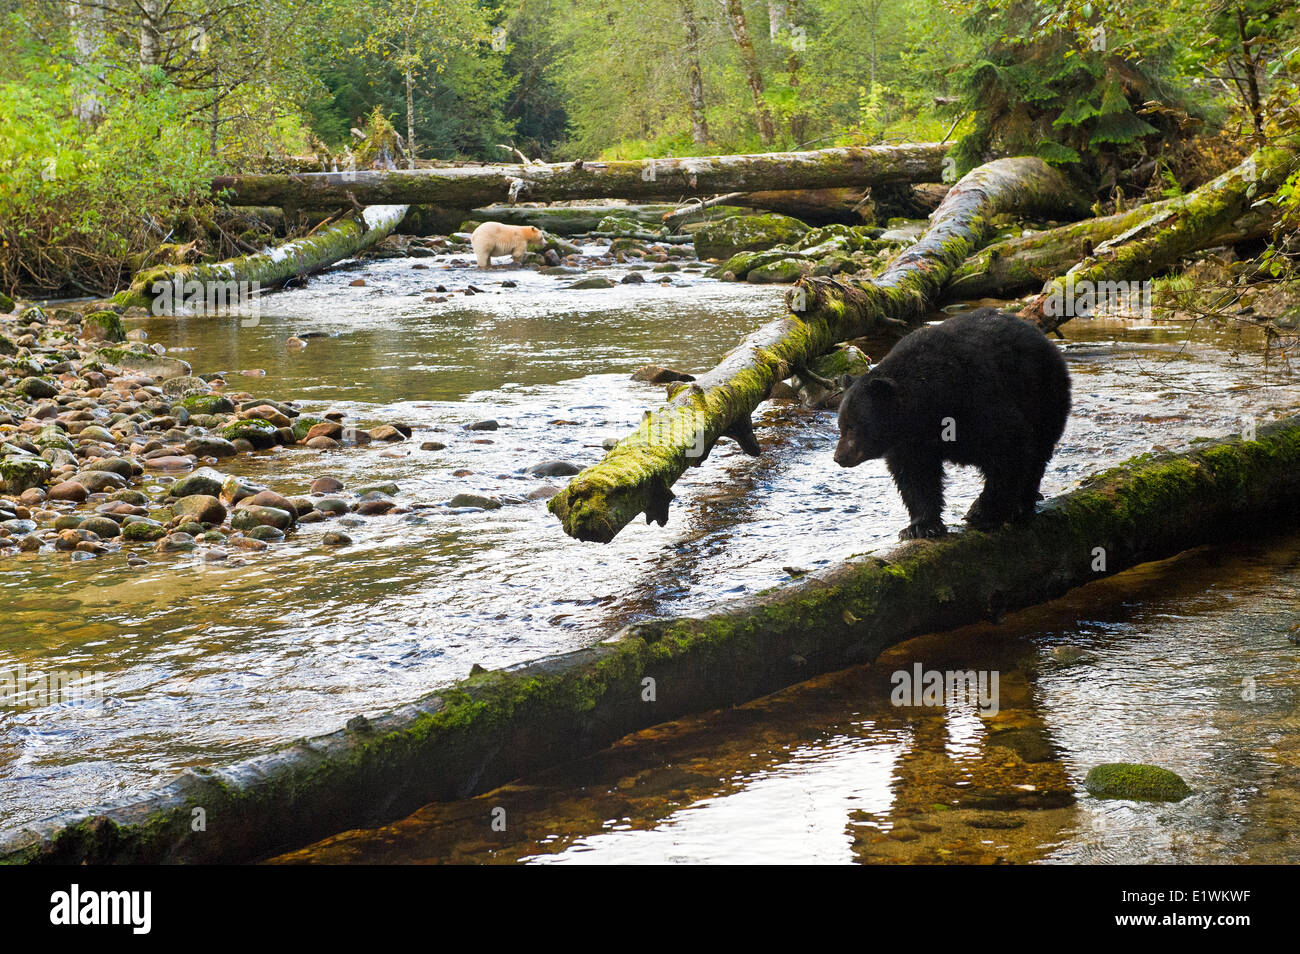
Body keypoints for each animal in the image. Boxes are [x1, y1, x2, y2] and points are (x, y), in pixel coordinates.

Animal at [837, 310, 1071, 540]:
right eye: (841, 424)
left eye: (852, 426)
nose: (839, 457)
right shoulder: (911, 442)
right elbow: (915, 475)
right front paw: (920, 526)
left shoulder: (978, 401)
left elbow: (1010, 447)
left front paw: (981, 513)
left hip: (1045, 395)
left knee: (1038, 451)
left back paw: (1022, 504)